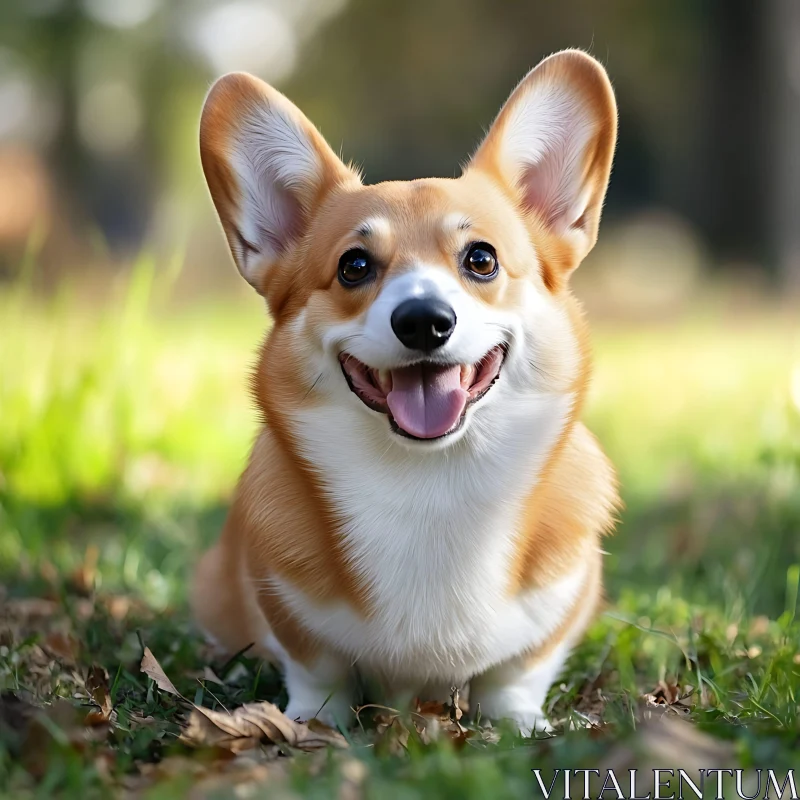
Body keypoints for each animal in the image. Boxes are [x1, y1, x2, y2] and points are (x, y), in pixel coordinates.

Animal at [192, 50, 620, 736]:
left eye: (481, 259)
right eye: (354, 266)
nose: (423, 321)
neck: (432, 482)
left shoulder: (560, 607)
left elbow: (516, 675)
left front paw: (522, 723)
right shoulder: (286, 606)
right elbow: (319, 673)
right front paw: (316, 723)